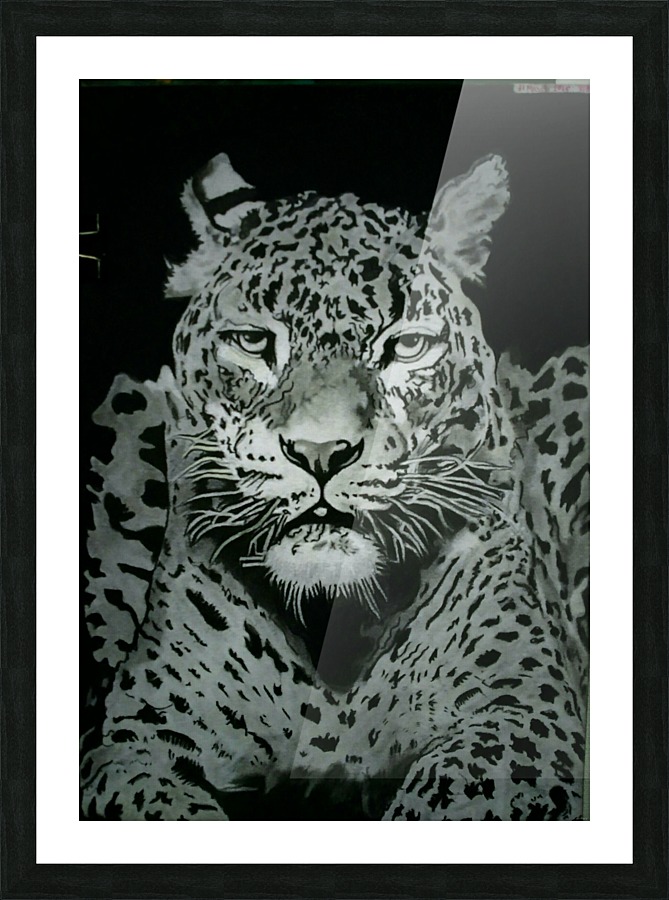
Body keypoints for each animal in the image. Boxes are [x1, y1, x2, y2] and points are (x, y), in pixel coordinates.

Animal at [80, 151, 589, 821]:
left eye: (407, 345)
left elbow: (447, 794)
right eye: (253, 342)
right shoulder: (133, 743)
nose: (322, 452)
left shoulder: (525, 716)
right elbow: (165, 806)